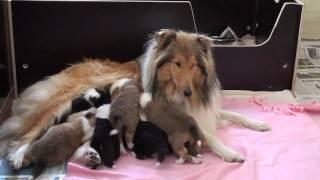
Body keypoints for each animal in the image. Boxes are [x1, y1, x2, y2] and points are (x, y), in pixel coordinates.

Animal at [0, 28, 270, 168]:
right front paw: (230, 152)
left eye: (194, 65)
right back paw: (19, 155)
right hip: (59, 102)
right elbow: (209, 136)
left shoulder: (203, 109)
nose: (188, 93)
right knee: (27, 133)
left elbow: (233, 114)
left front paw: (259, 123)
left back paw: (90, 154)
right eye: (177, 64)